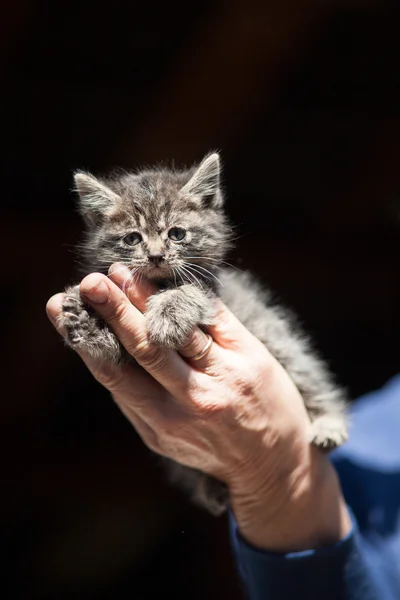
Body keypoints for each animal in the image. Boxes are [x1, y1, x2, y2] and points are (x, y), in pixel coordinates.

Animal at [59, 154, 346, 516]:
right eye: (133, 239)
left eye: (177, 234)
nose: (156, 256)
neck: (159, 282)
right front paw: (84, 314)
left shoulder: (215, 295)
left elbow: (191, 291)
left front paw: (168, 313)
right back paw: (210, 488)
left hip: (282, 343)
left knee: (312, 378)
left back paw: (329, 424)